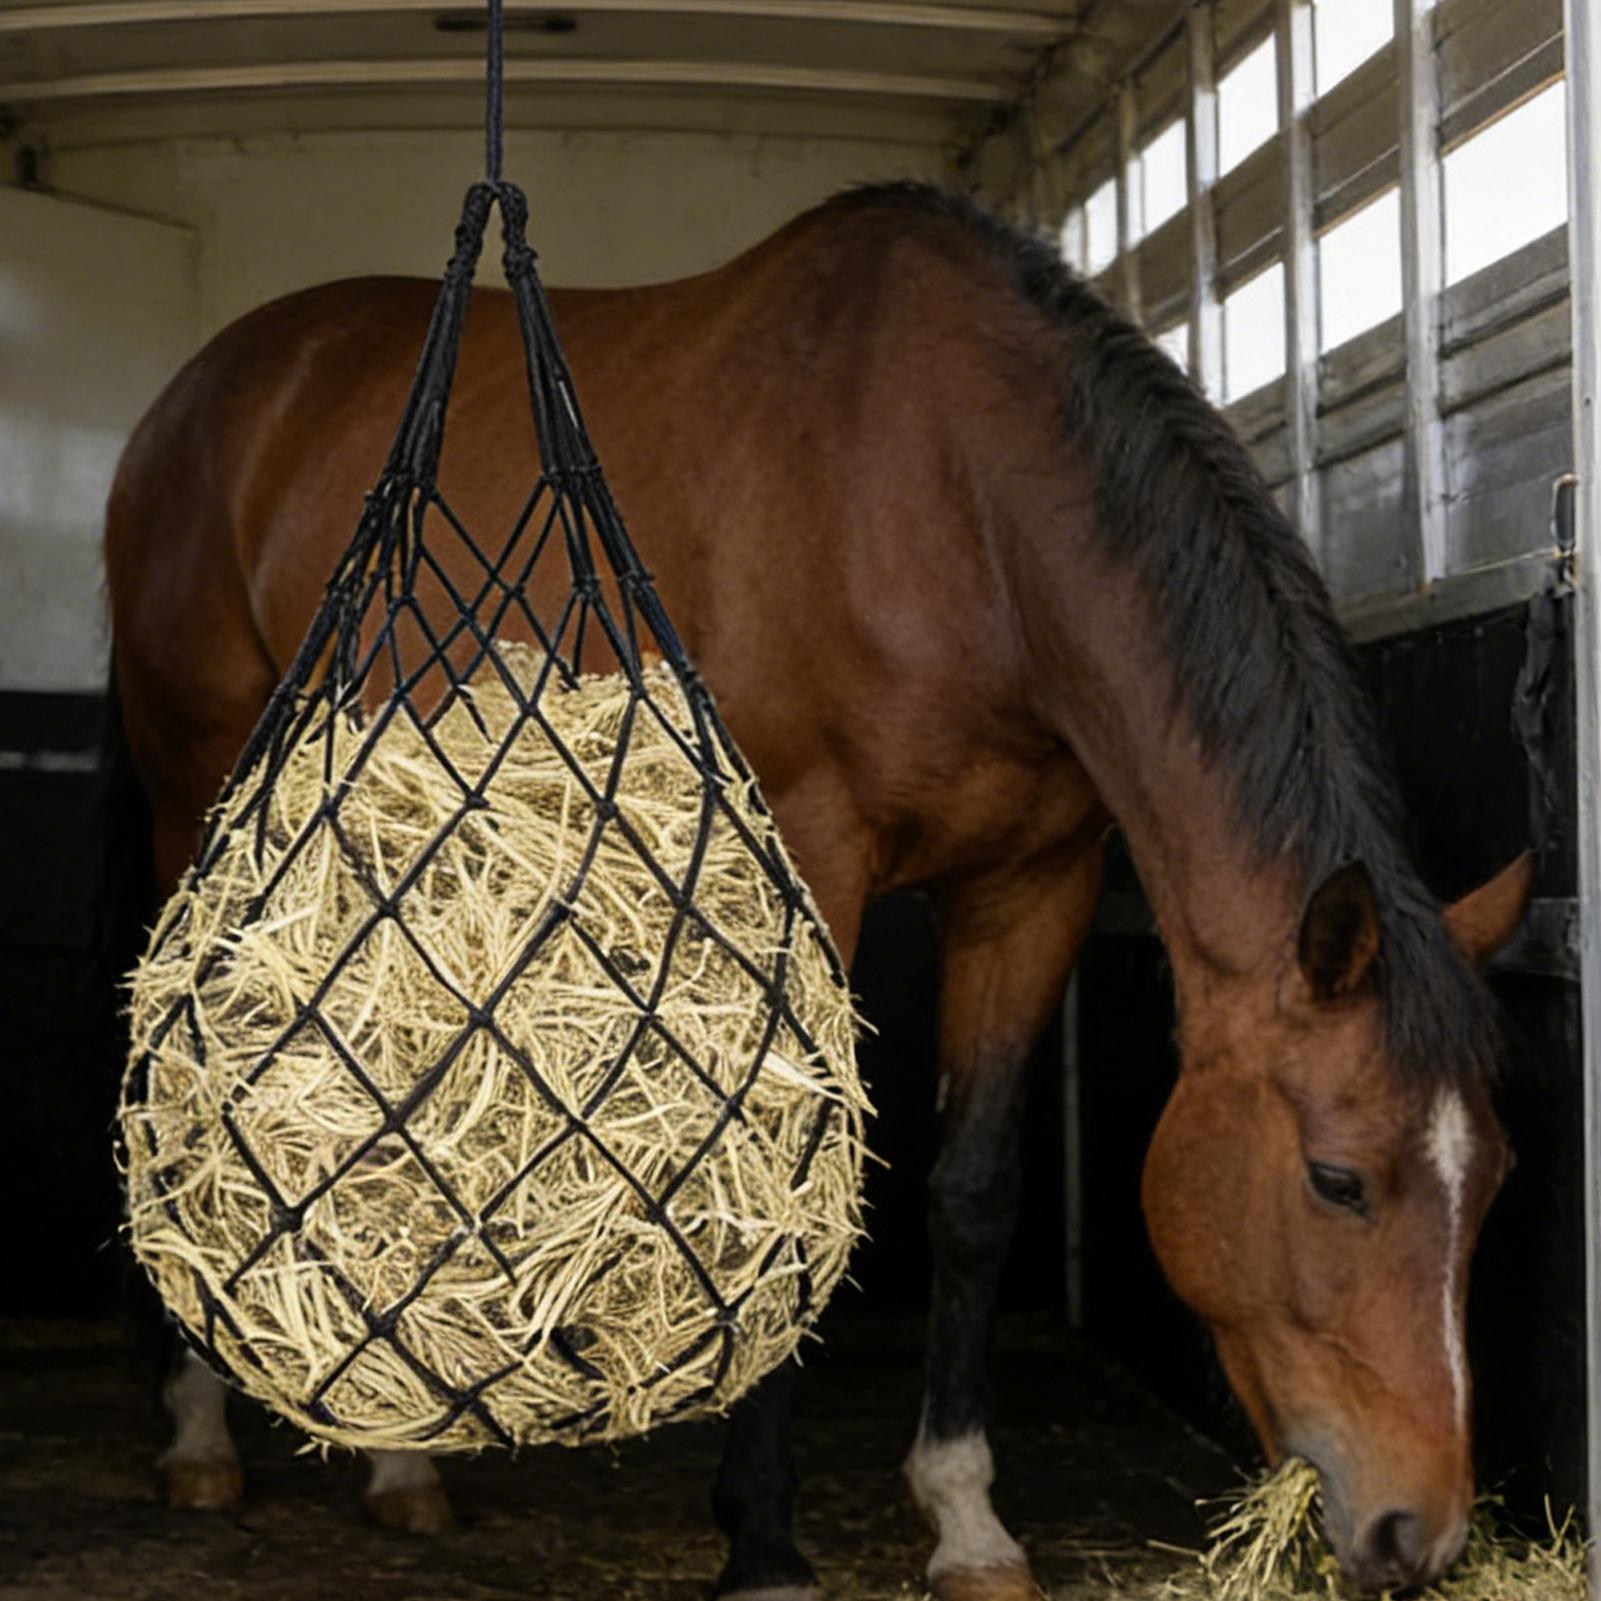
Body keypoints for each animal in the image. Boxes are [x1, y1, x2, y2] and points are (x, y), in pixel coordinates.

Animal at [103, 182, 1531, 1600]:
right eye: (1336, 1180)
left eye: (1492, 1183)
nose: (1418, 1532)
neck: (962, 503)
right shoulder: (814, 846)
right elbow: (799, 1184)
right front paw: (763, 1538)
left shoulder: (1031, 885)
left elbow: (972, 1191)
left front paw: (964, 1516)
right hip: (203, 793)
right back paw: (200, 1437)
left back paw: (404, 1461)